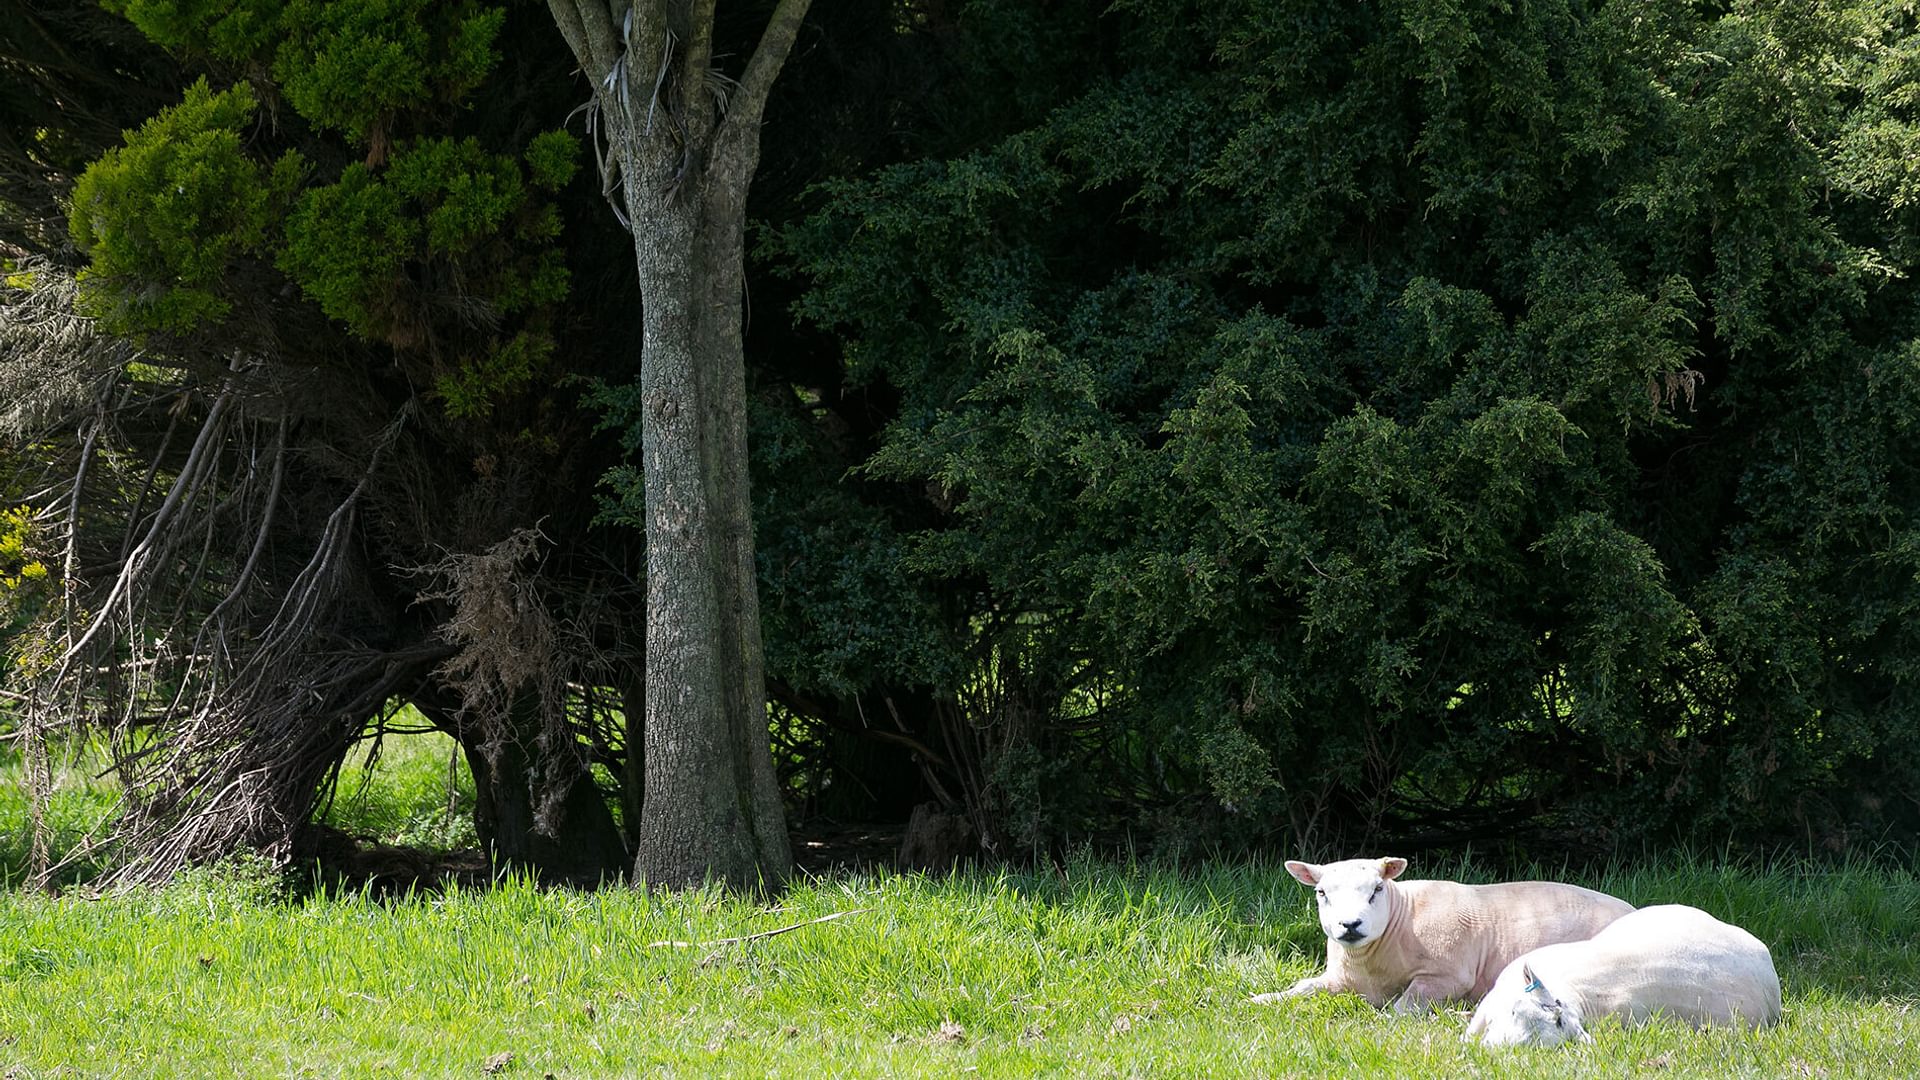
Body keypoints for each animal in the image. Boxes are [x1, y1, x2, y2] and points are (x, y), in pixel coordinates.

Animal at [1259, 853, 1635, 1014]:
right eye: (1321, 893)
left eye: (1377, 889)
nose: (1350, 925)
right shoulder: (1340, 980)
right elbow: (1301, 988)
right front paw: (1262, 999)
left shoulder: (1447, 976)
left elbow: (1404, 1007)